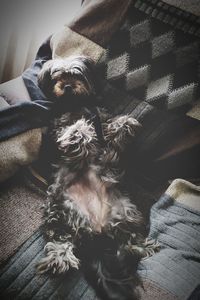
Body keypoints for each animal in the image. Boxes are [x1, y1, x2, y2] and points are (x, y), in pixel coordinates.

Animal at [36, 55, 159, 298]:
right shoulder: (57, 131)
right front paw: (80, 132)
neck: (75, 104)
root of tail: (96, 229)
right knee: (61, 240)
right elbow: (75, 130)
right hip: (58, 210)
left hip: (126, 213)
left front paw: (124, 125)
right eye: (57, 76)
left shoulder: (102, 120)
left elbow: (114, 127)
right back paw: (60, 259)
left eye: (76, 74)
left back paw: (143, 247)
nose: (66, 86)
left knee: (127, 242)